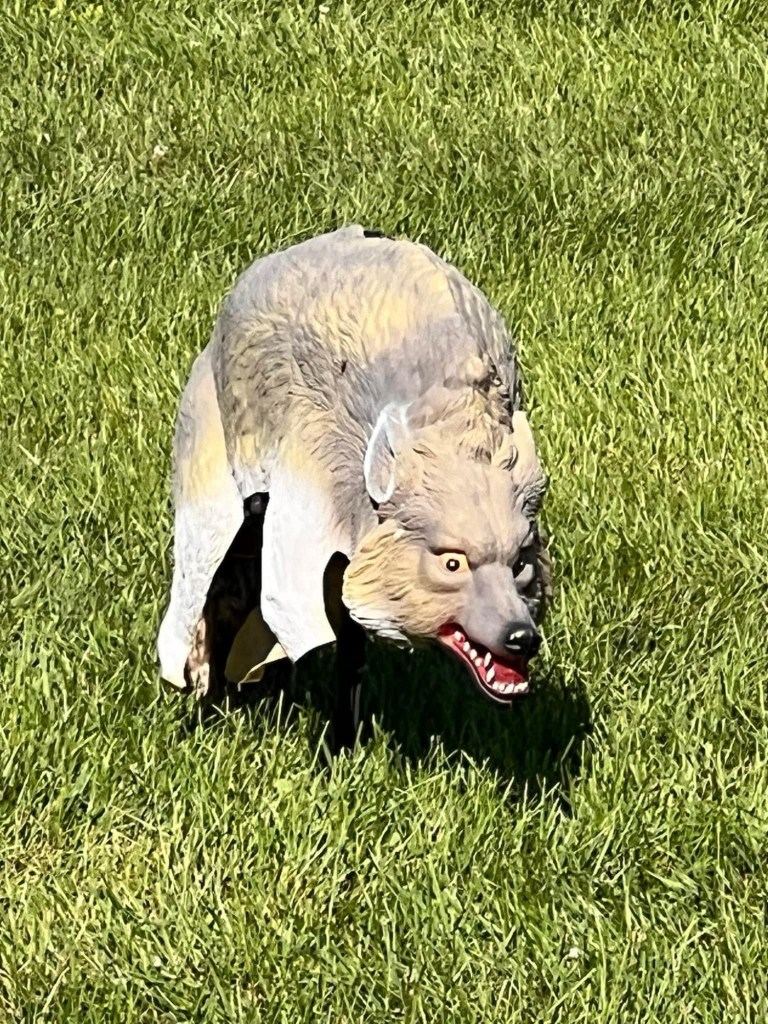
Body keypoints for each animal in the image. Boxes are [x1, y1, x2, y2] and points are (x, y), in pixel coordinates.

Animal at [157, 225, 551, 745]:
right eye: (451, 563)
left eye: (520, 564)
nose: (522, 637)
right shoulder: (301, 507)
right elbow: (288, 612)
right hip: (215, 487)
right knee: (204, 582)